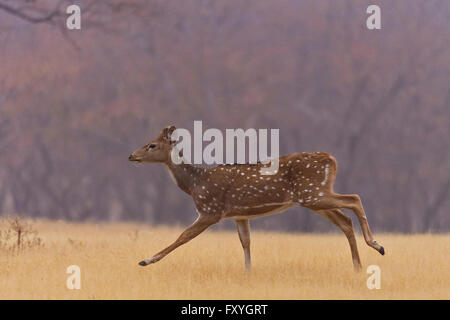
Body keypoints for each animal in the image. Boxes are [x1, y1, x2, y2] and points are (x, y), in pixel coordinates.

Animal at [128, 126, 384, 272]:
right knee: (345, 220)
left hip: (313, 194)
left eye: (152, 145)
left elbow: (183, 236)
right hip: (314, 196)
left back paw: (376, 245)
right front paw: (249, 272)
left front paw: (146, 260)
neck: (194, 184)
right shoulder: (239, 215)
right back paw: (358, 265)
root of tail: (331, 159)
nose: (131, 155)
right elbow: (246, 242)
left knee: (354, 198)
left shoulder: (211, 210)